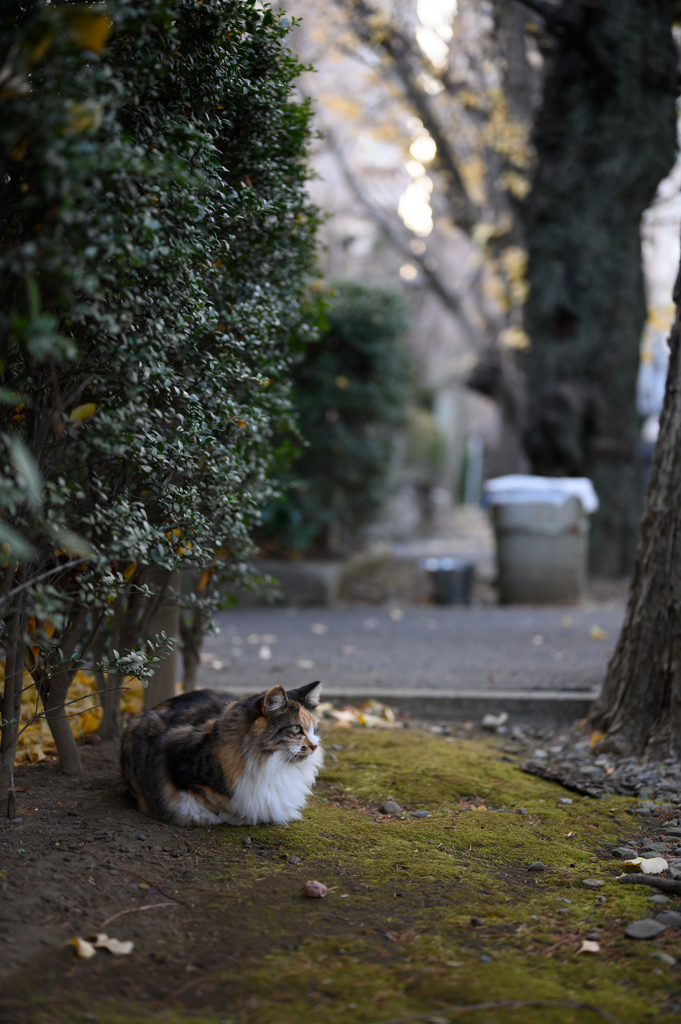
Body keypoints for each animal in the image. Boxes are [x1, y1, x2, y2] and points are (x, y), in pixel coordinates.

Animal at [120, 679, 323, 823]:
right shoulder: (175, 761)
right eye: (296, 729)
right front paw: (237, 817)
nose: (314, 746)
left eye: (315, 729)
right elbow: (216, 801)